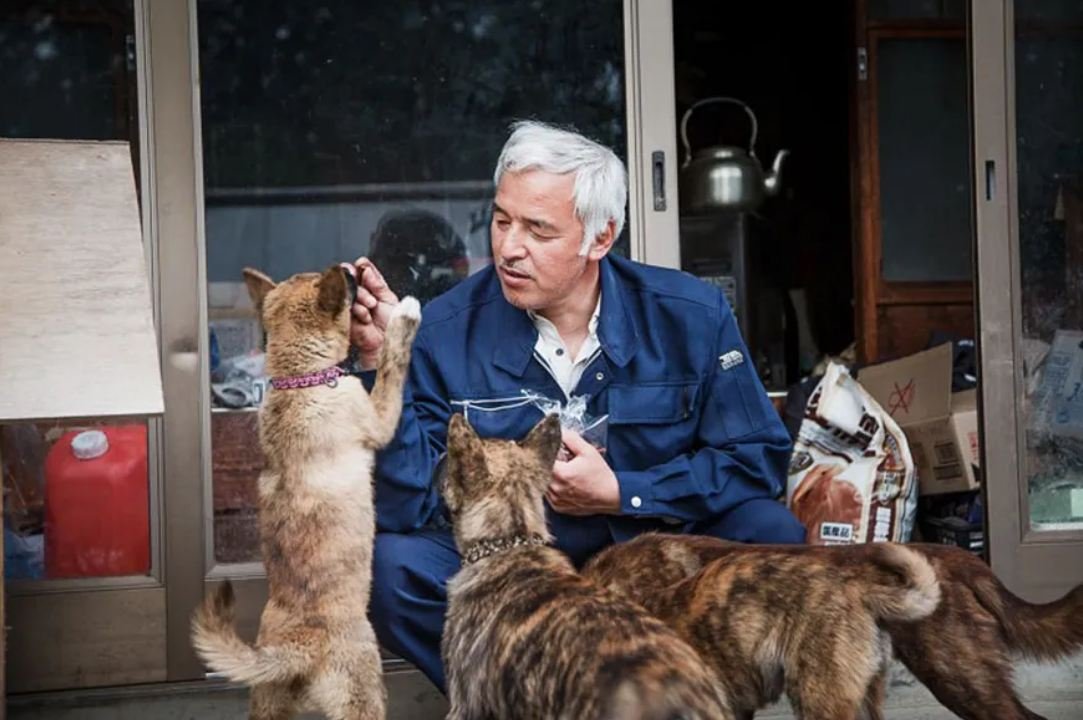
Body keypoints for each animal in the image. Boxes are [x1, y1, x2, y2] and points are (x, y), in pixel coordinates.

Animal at [190, 264, 418, 718]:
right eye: (345, 286)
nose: (351, 269)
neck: (299, 381)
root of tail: (299, 648)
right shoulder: (380, 416)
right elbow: (391, 362)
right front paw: (403, 316)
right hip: (364, 696)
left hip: (268, 705)